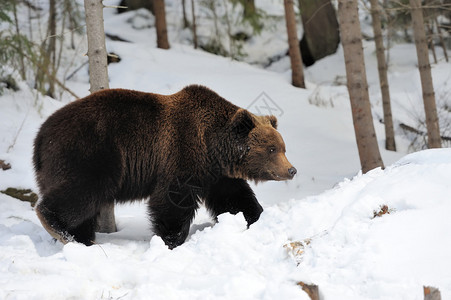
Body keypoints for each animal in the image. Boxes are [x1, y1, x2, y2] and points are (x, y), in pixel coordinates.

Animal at [34, 84, 296, 248]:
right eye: (272, 149)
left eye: (283, 147)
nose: (291, 170)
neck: (212, 146)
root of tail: (40, 136)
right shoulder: (181, 154)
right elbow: (172, 200)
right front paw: (171, 239)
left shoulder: (216, 174)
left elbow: (235, 198)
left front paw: (254, 217)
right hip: (91, 152)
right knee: (83, 191)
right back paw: (58, 226)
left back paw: (81, 239)